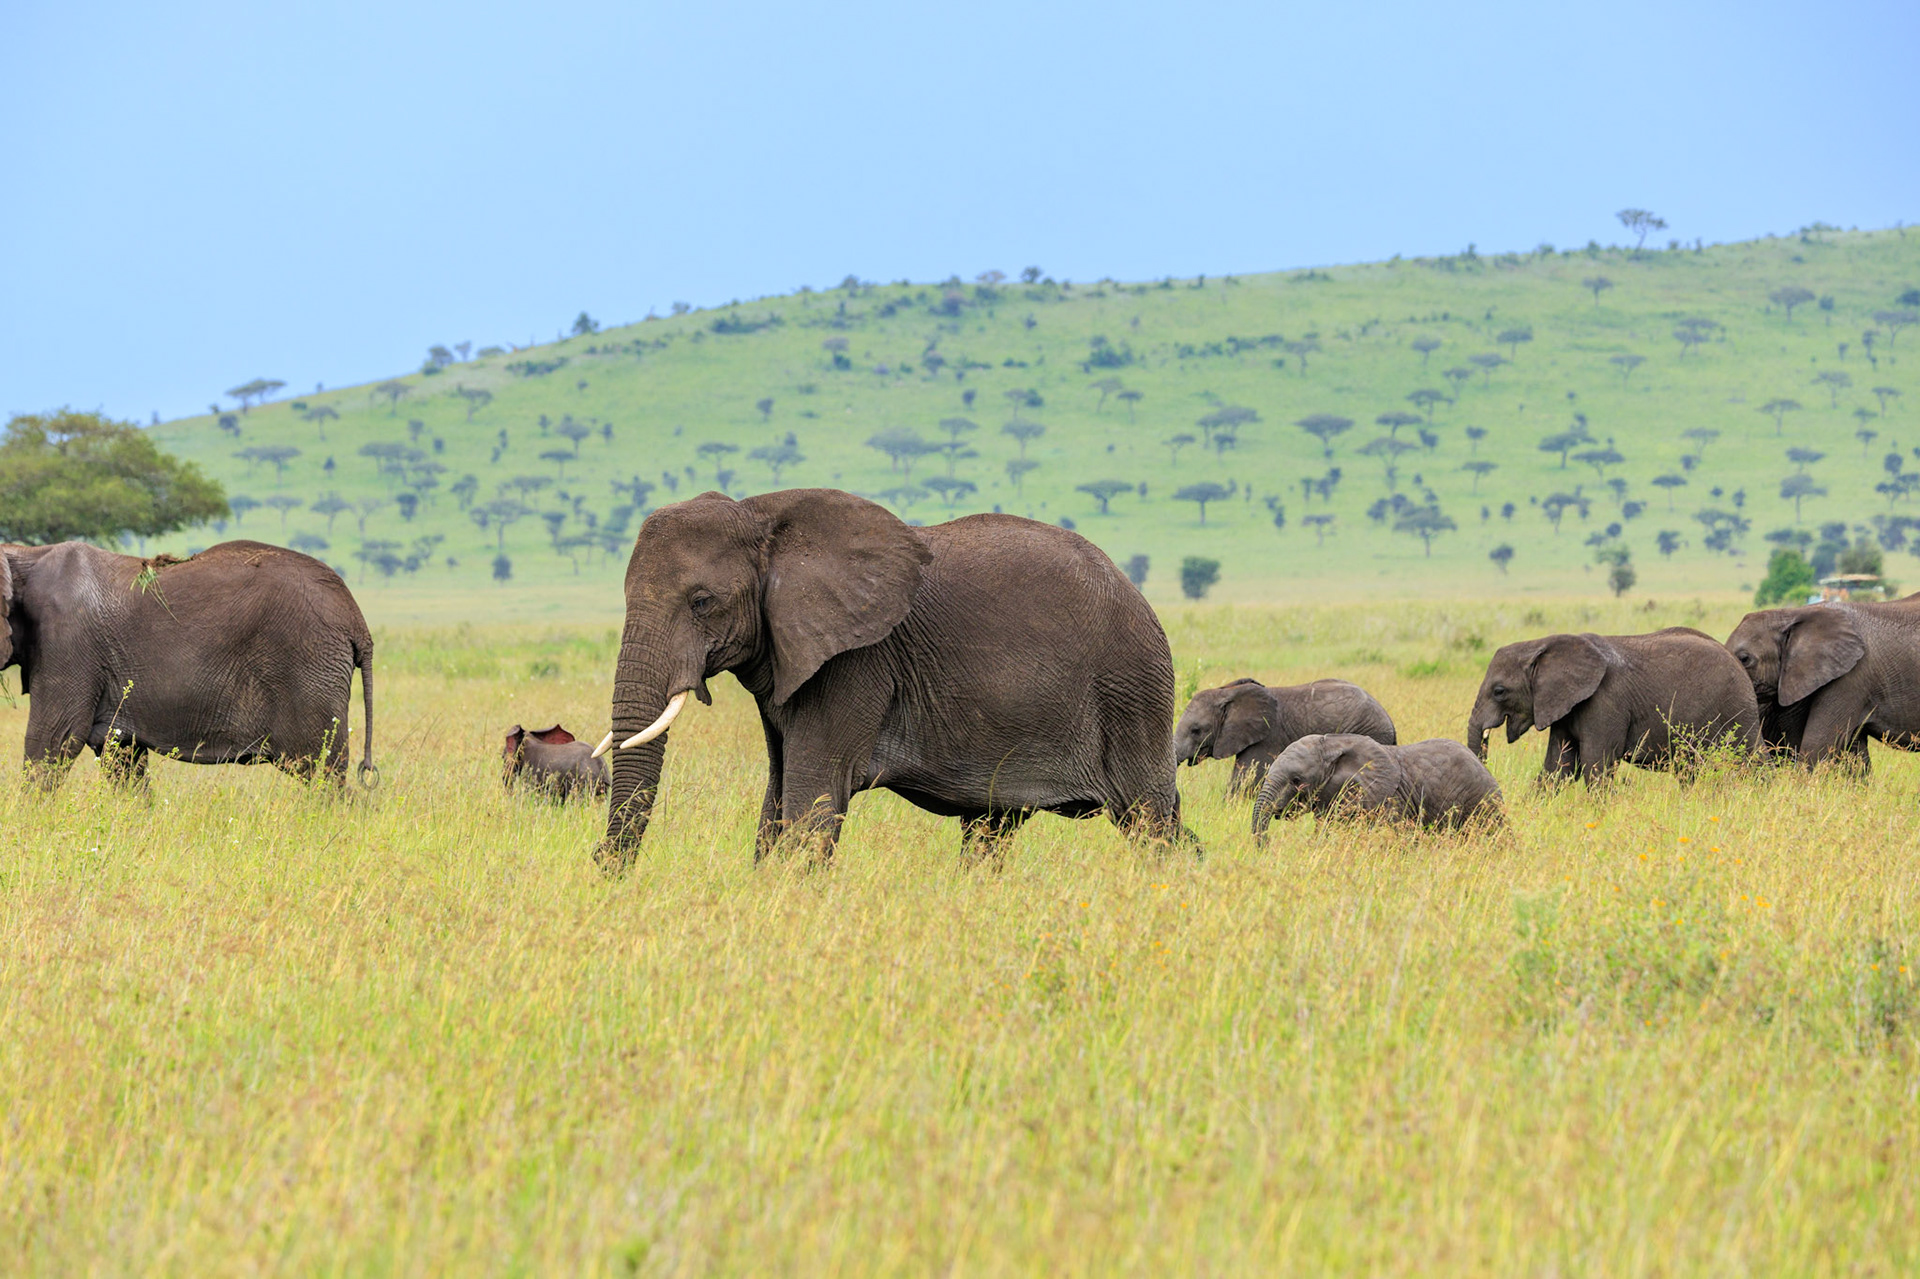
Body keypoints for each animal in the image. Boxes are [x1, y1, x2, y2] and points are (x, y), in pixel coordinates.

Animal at [0, 540, 375, 787]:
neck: (25, 555)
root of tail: (356, 618)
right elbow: (121, 756)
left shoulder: (67, 642)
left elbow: (53, 739)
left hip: (309, 667)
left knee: (322, 770)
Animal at [590, 488, 1185, 869]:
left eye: (702, 602)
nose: (602, 866)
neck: (763, 517)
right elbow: (775, 809)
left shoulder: (854, 664)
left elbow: (811, 807)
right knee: (993, 829)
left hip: (1132, 692)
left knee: (1149, 820)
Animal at [1467, 627, 1758, 782]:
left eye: (1499, 691)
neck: (1543, 643)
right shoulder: (1564, 706)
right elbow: (1556, 768)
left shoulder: (1605, 703)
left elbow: (1596, 766)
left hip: (1736, 708)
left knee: (1750, 761)